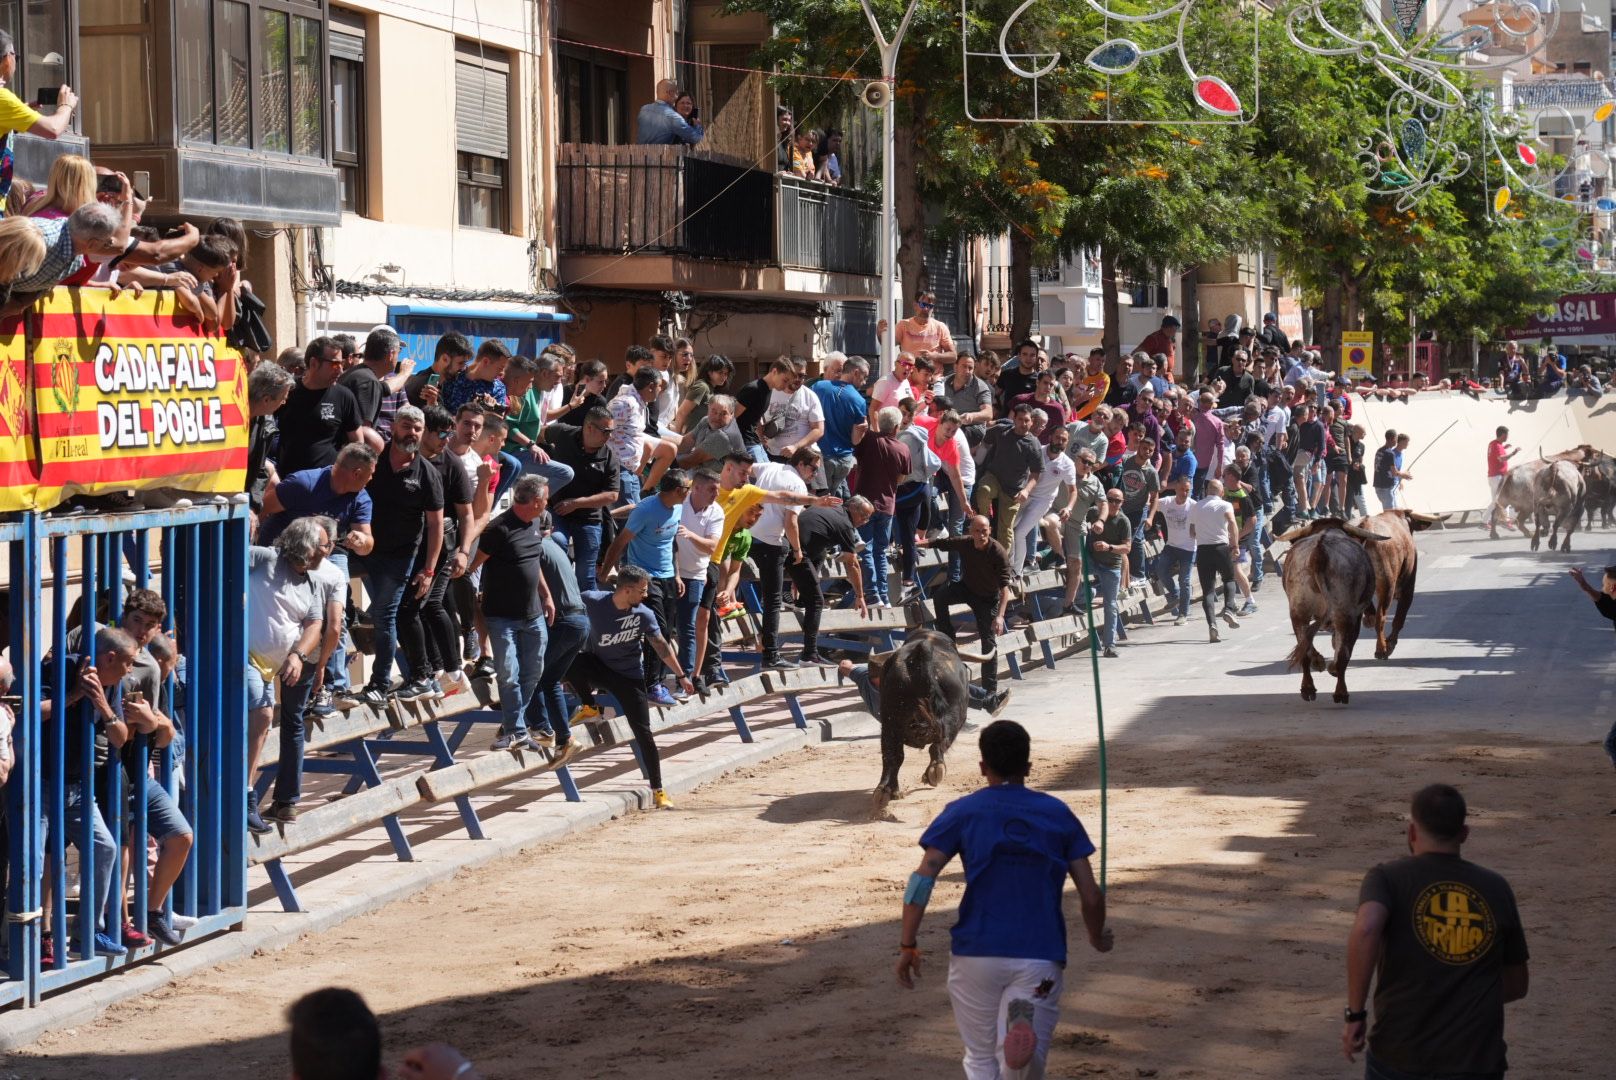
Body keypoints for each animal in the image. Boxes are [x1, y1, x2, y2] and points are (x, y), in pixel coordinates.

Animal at [1279, 517, 1383, 704]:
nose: (1370, 616)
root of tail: (1319, 551)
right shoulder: (1355, 618)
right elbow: (1343, 647)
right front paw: (1331, 667)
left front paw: (1322, 663)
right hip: (1344, 614)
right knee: (1342, 654)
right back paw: (1340, 692)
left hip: (1298, 611)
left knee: (1304, 649)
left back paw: (1308, 687)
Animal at [1350, 510, 1441, 662]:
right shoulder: (1407, 589)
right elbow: (1399, 619)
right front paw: (1390, 644)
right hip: (1388, 587)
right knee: (1381, 618)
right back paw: (1382, 649)